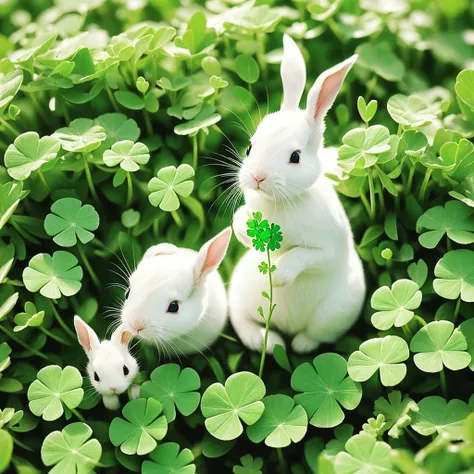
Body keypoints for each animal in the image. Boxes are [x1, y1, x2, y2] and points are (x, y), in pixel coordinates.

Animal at [230, 35, 366, 354]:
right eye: (250, 148)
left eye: (295, 157)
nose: (257, 177)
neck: (280, 202)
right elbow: (239, 222)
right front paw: (243, 229)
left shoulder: (326, 249)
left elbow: (303, 256)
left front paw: (278, 274)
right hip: (239, 290)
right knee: (241, 320)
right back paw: (268, 342)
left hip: (337, 311)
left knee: (315, 336)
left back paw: (297, 344)